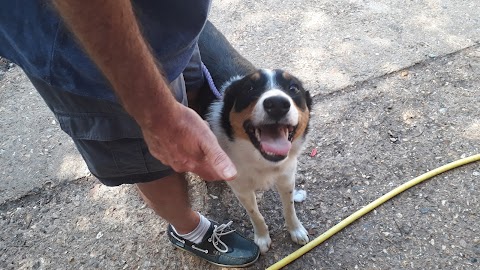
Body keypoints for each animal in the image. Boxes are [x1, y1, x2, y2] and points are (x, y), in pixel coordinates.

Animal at [198, 21, 314, 253]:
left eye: (293, 88)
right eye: (249, 88)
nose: (277, 104)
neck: (261, 160)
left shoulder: (287, 176)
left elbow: (289, 208)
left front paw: (295, 230)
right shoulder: (241, 188)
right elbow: (256, 215)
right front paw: (262, 238)